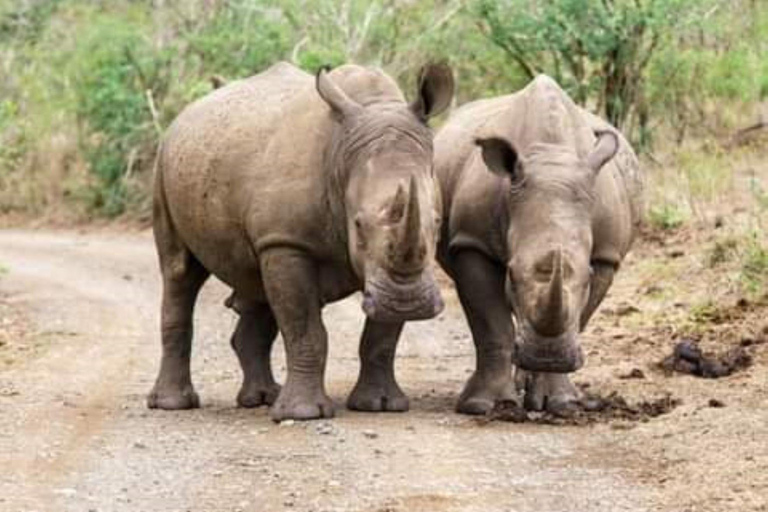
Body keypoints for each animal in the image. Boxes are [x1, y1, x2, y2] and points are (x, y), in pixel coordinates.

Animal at [148, 61, 456, 420]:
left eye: (437, 222)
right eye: (358, 224)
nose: (409, 303)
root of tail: (180, 118)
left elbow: (381, 336)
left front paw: (381, 405)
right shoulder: (288, 243)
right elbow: (306, 329)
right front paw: (304, 413)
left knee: (255, 284)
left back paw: (261, 398)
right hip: (163, 164)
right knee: (179, 273)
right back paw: (172, 404)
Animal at [436, 74, 644, 414]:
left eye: (588, 277)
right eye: (510, 274)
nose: (551, 357)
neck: (551, 157)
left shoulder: (605, 256)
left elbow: (579, 316)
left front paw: (561, 403)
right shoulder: (471, 241)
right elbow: (492, 325)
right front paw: (484, 405)